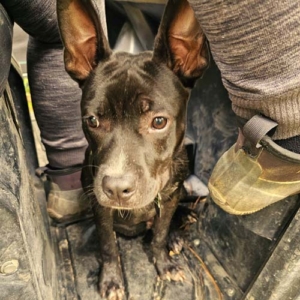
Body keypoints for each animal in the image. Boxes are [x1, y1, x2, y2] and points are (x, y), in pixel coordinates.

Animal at [56, 0, 207, 298]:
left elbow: (159, 235)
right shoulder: (101, 210)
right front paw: (112, 281)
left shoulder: (169, 199)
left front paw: (164, 264)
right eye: (92, 120)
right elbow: (108, 246)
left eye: (158, 122)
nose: (115, 188)